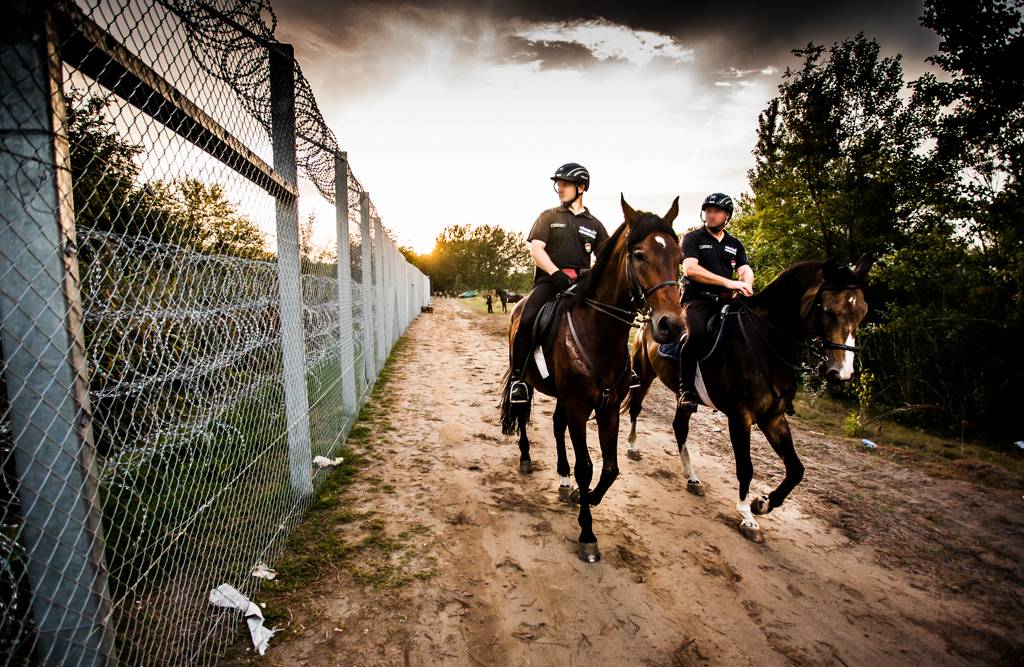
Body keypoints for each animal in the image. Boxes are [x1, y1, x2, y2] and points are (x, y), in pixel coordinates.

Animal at [497, 196, 684, 565]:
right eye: (639, 254)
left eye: (679, 257)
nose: (671, 325)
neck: (599, 332)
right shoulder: (579, 406)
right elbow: (586, 466)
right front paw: (587, 533)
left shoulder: (607, 408)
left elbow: (610, 468)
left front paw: (588, 498)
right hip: (527, 381)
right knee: (523, 414)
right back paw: (527, 459)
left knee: (556, 427)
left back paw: (563, 479)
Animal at [622, 256, 872, 540]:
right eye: (829, 311)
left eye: (863, 312)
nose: (842, 373)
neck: (764, 343)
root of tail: (651, 317)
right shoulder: (740, 417)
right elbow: (745, 466)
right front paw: (747, 516)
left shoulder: (773, 417)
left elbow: (796, 469)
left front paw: (763, 503)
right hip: (644, 373)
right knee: (636, 408)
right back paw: (633, 447)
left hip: (683, 396)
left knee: (679, 426)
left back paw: (692, 477)